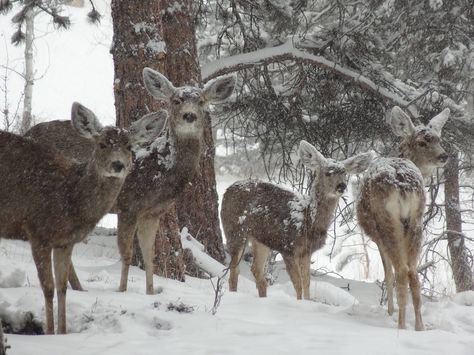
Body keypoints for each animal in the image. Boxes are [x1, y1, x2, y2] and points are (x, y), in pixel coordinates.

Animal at [0, 102, 168, 334]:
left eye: (129, 147)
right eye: (102, 144)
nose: (118, 165)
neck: (69, 197)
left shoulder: (65, 242)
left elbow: (62, 288)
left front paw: (62, 332)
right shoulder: (37, 232)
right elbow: (48, 288)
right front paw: (49, 332)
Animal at [221, 140, 374, 302]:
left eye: (345, 173)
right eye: (328, 172)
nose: (342, 186)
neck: (308, 221)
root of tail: (228, 189)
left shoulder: (306, 251)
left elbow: (307, 283)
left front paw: (307, 302)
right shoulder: (288, 247)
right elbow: (298, 284)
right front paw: (300, 304)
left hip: (261, 240)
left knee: (256, 271)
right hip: (234, 230)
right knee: (234, 271)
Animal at [358, 105, 450, 330]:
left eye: (439, 139)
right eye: (423, 142)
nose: (444, 155)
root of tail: (402, 183)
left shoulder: (377, 237)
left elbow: (387, 273)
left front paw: (389, 311)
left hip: (387, 221)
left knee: (400, 271)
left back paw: (400, 324)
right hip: (417, 220)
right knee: (414, 274)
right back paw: (419, 327)